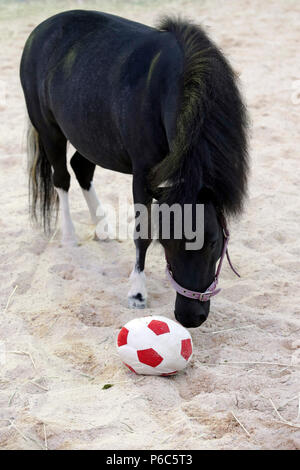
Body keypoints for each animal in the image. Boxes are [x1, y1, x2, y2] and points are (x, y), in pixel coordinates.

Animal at [19, 10, 248, 326]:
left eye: (213, 242)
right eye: (167, 243)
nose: (189, 316)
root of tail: (42, 28)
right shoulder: (143, 174)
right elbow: (142, 233)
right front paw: (137, 293)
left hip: (90, 135)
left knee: (81, 167)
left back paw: (102, 229)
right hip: (48, 129)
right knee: (61, 178)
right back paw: (69, 238)